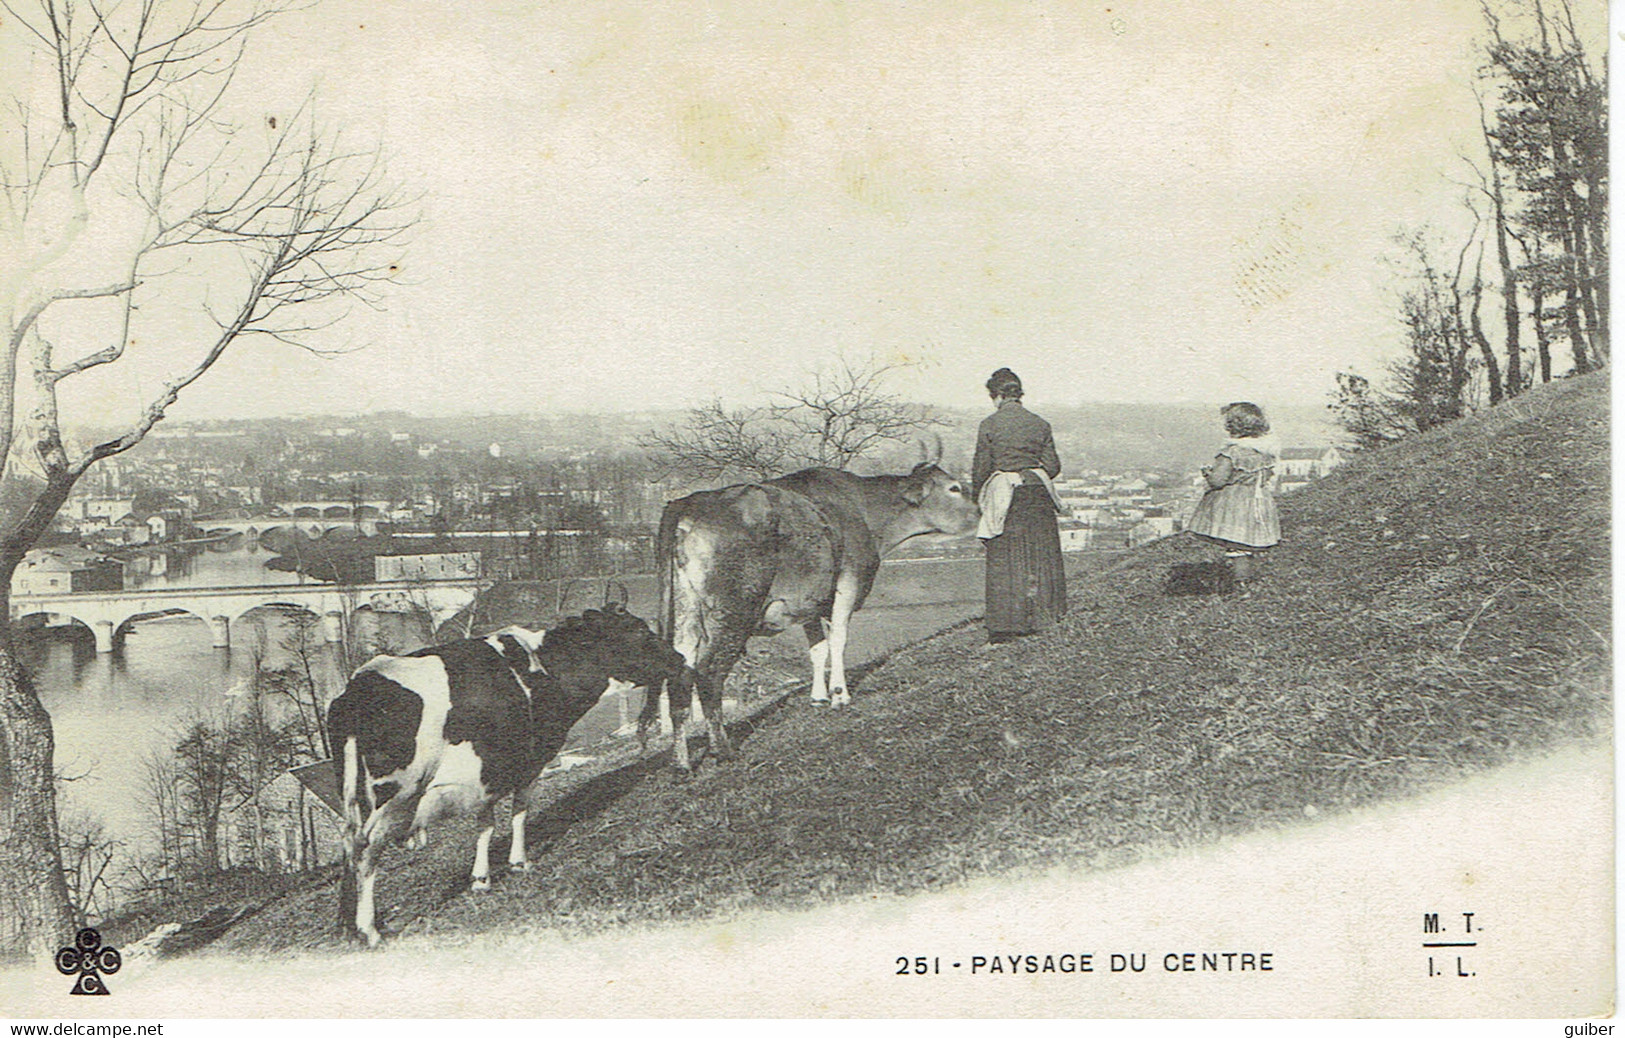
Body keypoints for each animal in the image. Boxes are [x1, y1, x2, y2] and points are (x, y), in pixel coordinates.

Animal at [329, 604, 685, 948]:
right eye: (639, 630)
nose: (679, 658)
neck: (545, 668)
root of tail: (357, 684)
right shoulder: (530, 761)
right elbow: (519, 812)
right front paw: (519, 862)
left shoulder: (489, 770)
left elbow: (485, 824)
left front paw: (481, 878)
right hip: (398, 793)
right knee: (367, 848)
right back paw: (369, 930)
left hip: (352, 794)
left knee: (348, 840)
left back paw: (346, 922)